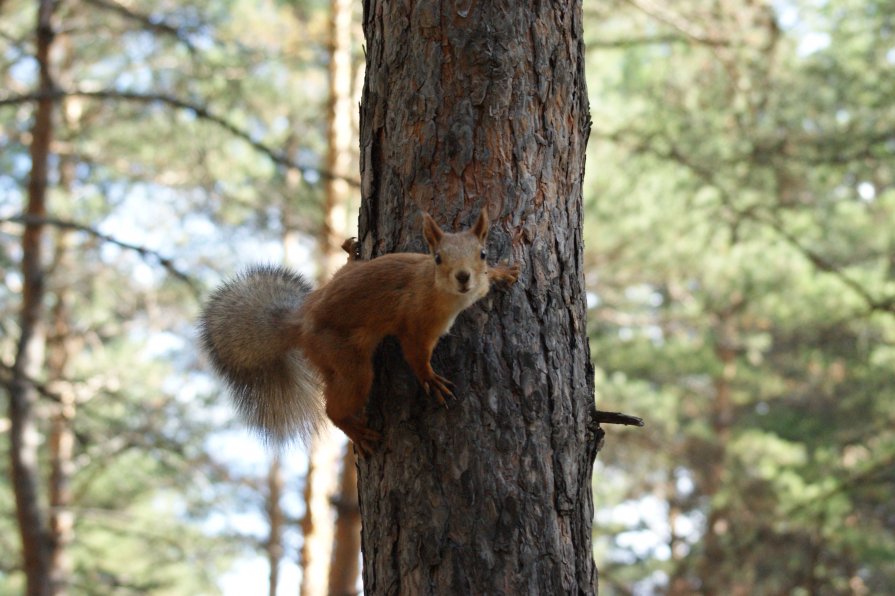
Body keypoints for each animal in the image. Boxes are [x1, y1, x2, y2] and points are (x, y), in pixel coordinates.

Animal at [196, 208, 520, 452]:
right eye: (438, 257)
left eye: (483, 253)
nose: (463, 277)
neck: (439, 289)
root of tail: (300, 322)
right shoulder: (415, 324)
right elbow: (415, 355)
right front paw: (430, 379)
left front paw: (502, 272)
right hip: (345, 359)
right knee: (335, 406)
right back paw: (355, 431)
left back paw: (352, 255)